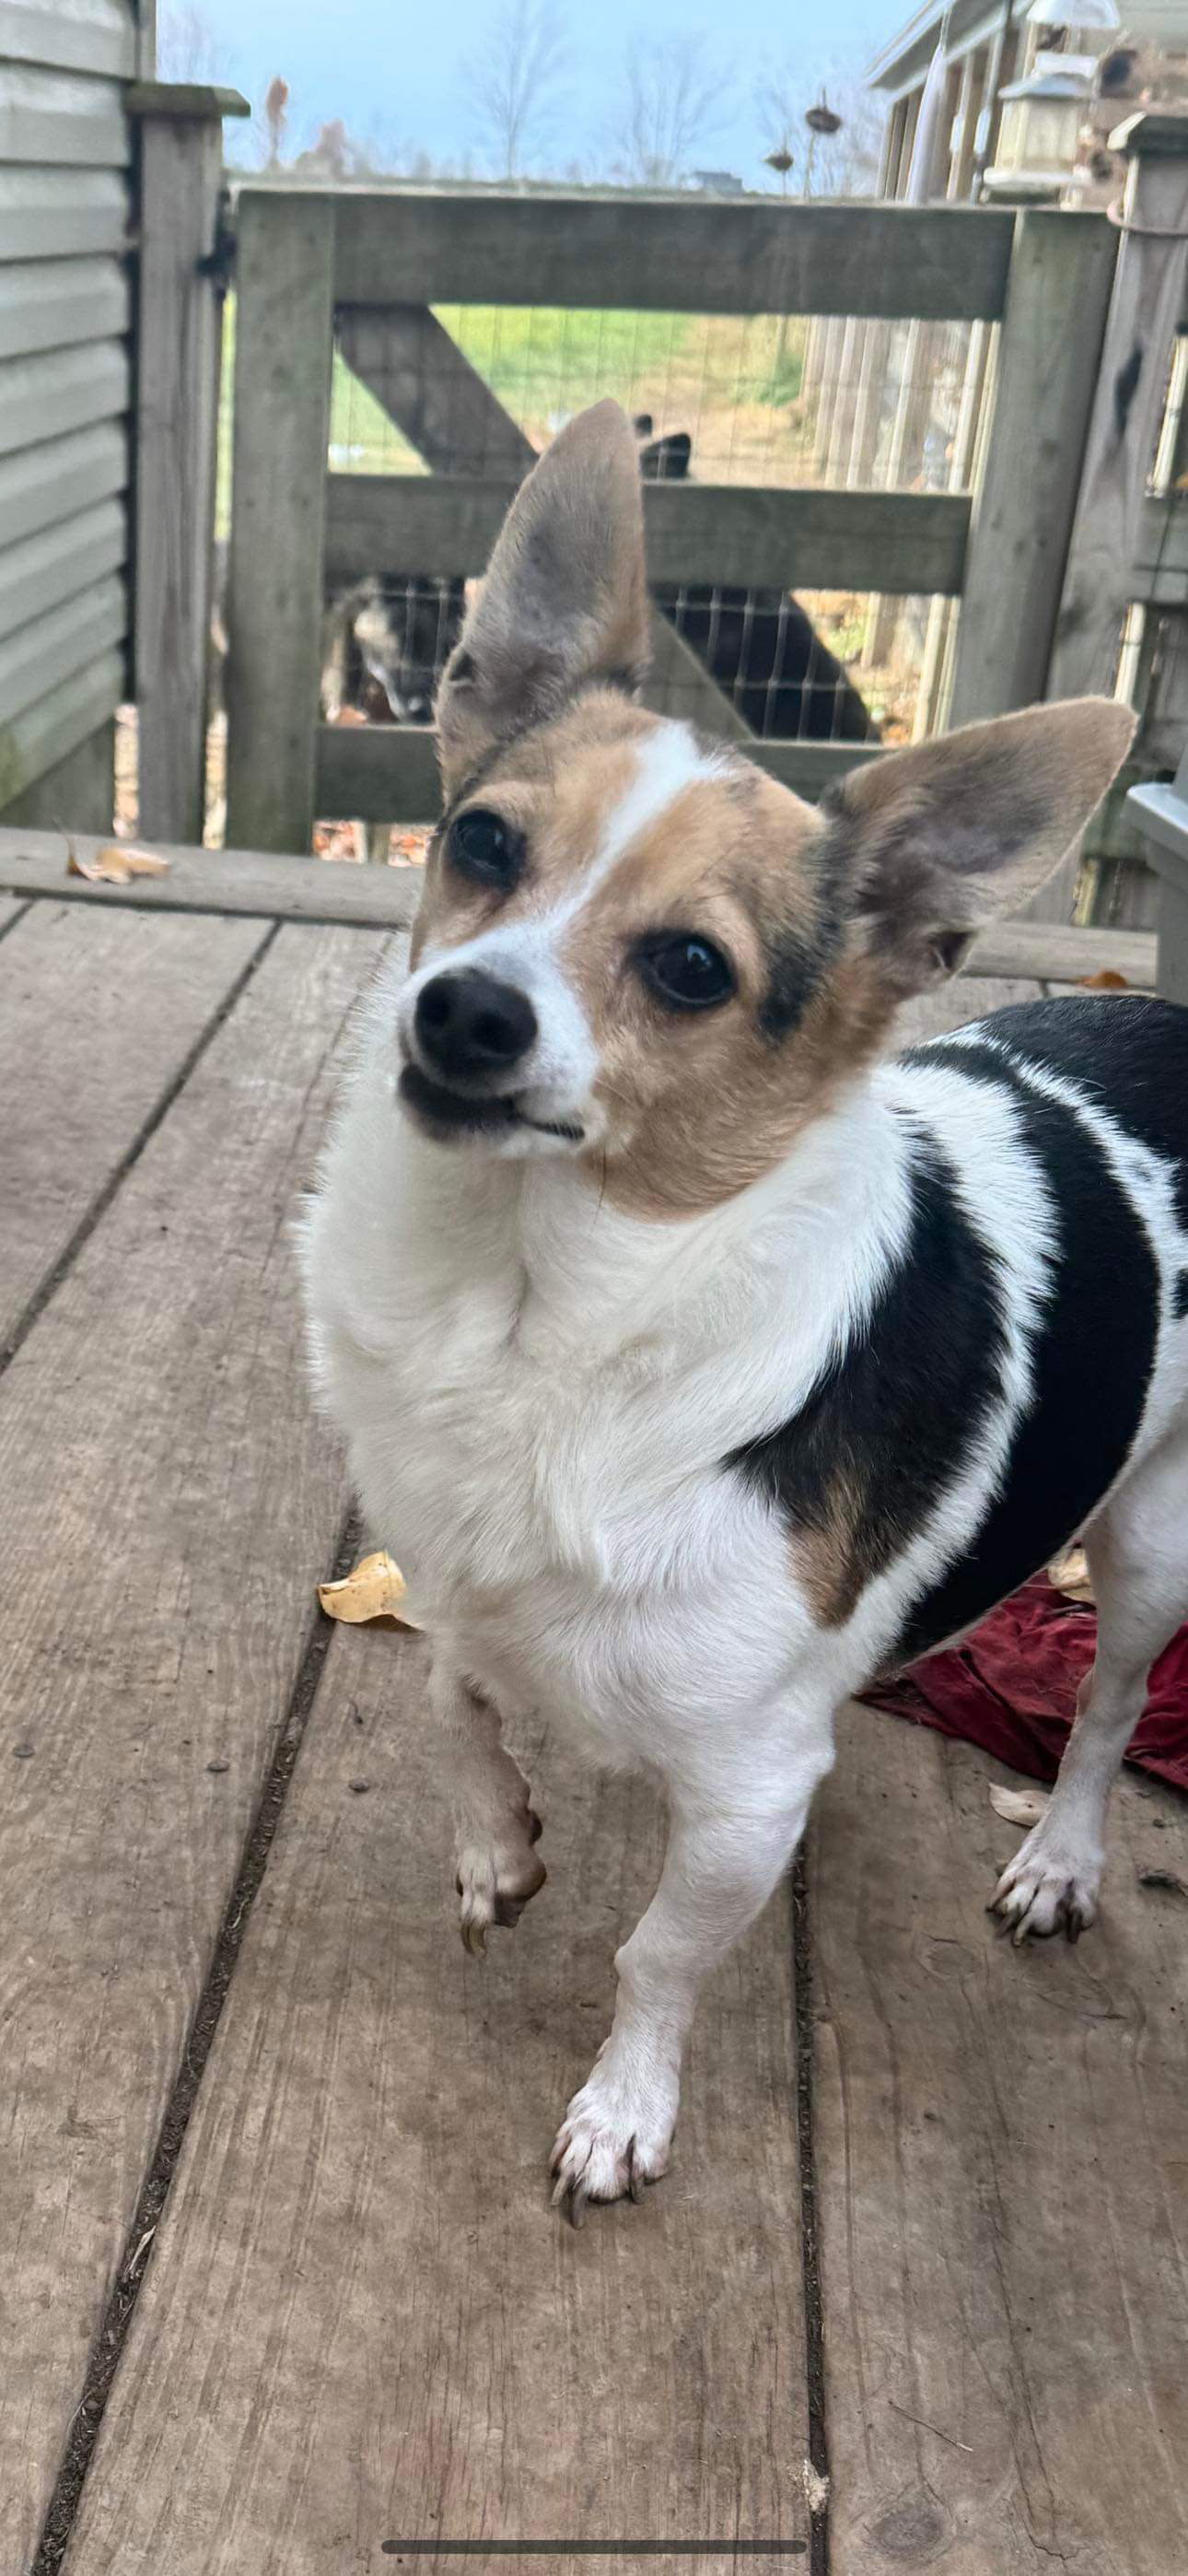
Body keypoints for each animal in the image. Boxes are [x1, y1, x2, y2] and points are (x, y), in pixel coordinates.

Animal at [302, 396, 1185, 2215]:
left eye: (692, 969)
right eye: (482, 843)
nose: (464, 1010)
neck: (534, 1302)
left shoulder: (743, 1792)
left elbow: (656, 1955)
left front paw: (622, 2111)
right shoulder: (462, 1591)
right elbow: (449, 1692)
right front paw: (496, 1848)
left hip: (1153, 1546)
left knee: (1109, 1705)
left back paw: (1062, 1860)